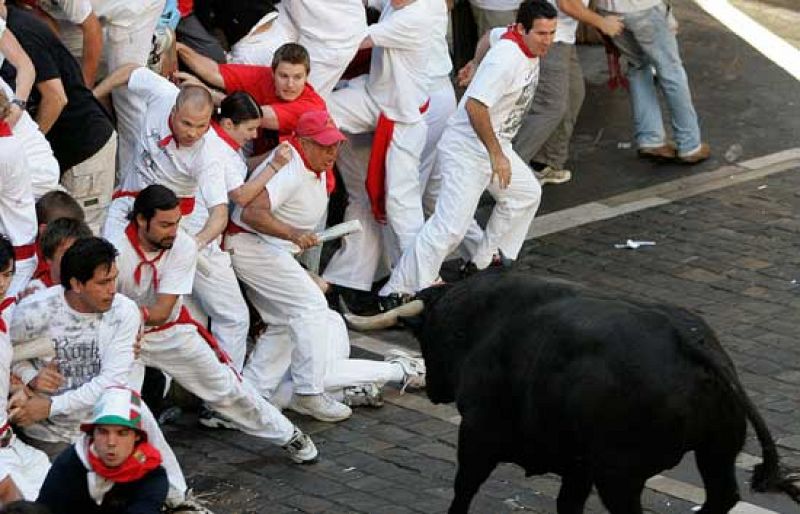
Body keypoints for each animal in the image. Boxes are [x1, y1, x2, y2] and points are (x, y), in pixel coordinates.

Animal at [406, 270, 800, 510]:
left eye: (423, 338)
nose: (432, 389)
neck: (481, 321)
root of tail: (688, 339)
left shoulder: (478, 433)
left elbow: (464, 487)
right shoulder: (578, 464)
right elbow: (567, 503)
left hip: (620, 476)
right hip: (715, 450)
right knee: (722, 497)